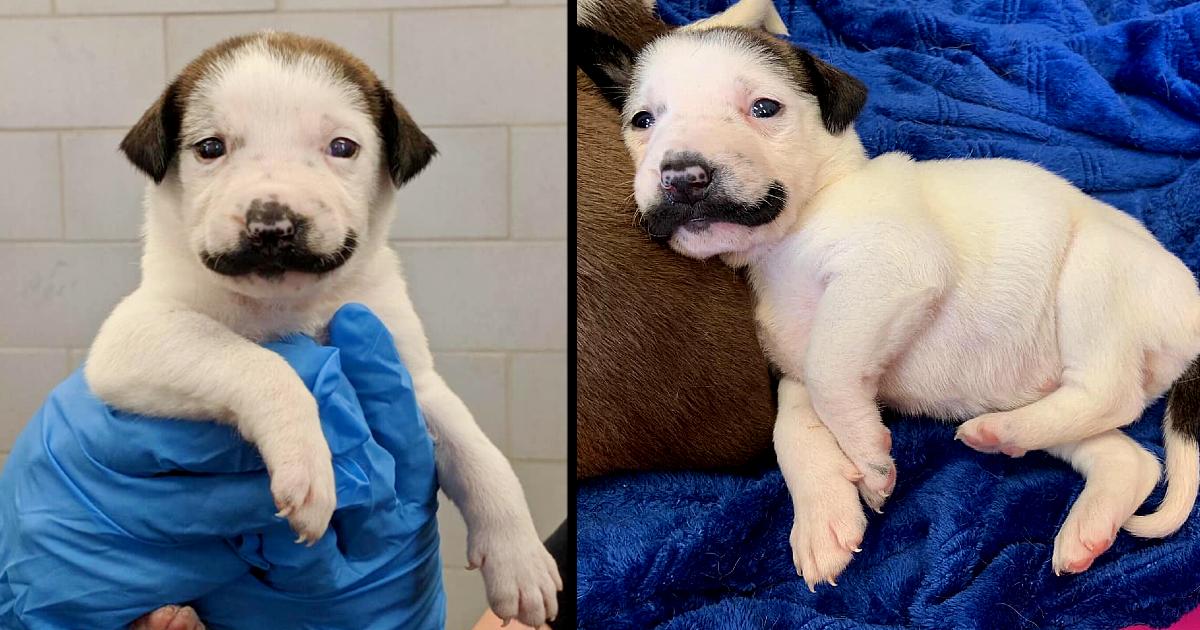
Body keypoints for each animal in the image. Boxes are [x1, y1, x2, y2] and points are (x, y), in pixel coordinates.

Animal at [85, 30, 561, 624]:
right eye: (210, 148)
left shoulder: (413, 378)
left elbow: (479, 453)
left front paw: (520, 558)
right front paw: (306, 462)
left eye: (342, 147)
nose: (271, 225)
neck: (289, 303)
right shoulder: (135, 336)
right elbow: (256, 362)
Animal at [580, 25, 1200, 590]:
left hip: (1096, 277)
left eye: (764, 107)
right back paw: (1062, 500)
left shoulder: (888, 272)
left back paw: (1000, 433)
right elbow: (795, 425)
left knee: (1109, 391)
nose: (682, 177)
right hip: (1046, 392)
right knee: (1131, 459)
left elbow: (830, 376)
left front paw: (869, 461)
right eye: (642, 120)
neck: (787, 240)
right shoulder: (794, 362)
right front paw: (824, 517)